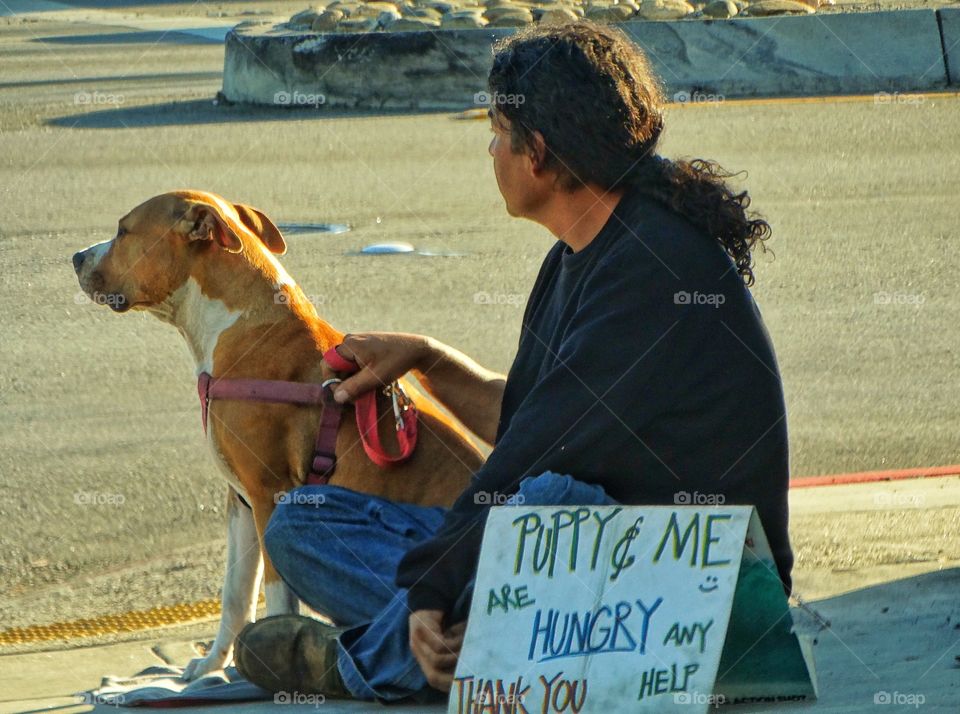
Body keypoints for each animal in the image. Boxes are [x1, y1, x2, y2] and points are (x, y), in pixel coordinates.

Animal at [71, 189, 484, 680]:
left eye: (123, 230)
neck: (236, 321)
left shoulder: (271, 494)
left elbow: (277, 595)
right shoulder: (240, 500)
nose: (75, 257)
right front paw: (212, 666)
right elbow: (235, 593)